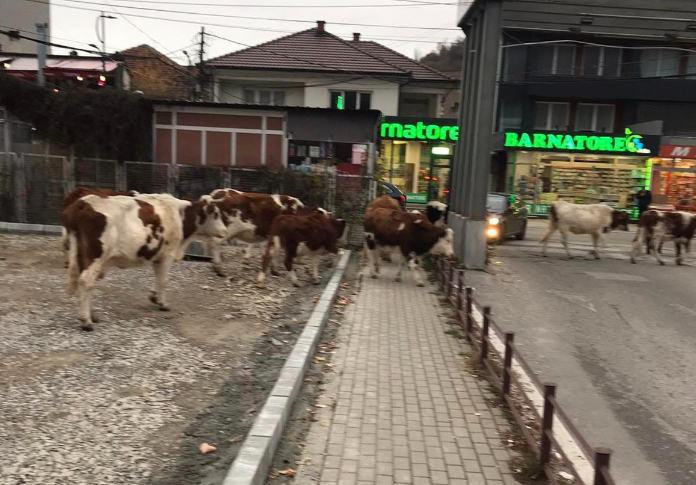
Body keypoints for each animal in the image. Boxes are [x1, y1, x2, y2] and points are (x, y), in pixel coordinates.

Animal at [63, 193, 227, 328]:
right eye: (216, 214)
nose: (225, 231)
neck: (180, 215)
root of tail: (83, 202)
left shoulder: (157, 256)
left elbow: (158, 278)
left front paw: (154, 297)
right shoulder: (168, 254)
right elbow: (163, 280)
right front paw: (163, 303)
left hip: (82, 255)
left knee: (86, 282)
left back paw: (92, 315)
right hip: (96, 256)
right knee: (86, 281)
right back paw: (86, 320)